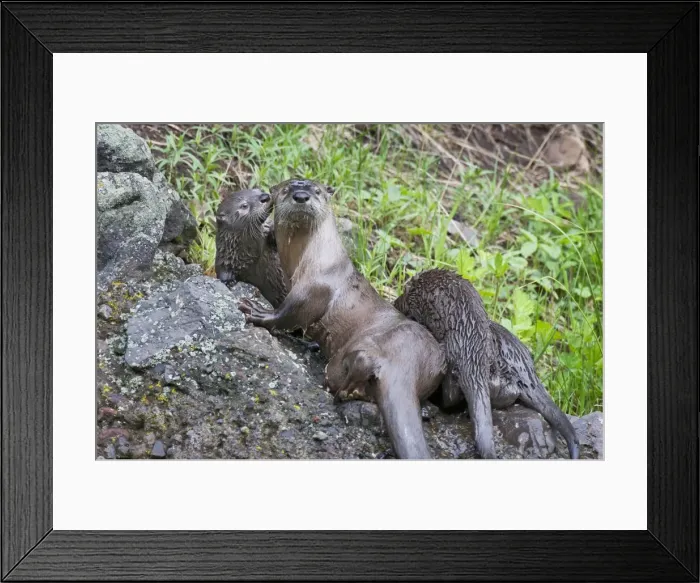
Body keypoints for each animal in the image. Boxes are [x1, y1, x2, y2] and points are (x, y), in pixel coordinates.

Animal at [238, 179, 446, 459]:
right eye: (286, 189)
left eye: (316, 191)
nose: (301, 196)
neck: (316, 259)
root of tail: (405, 364)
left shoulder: (313, 288)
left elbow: (290, 313)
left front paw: (260, 313)